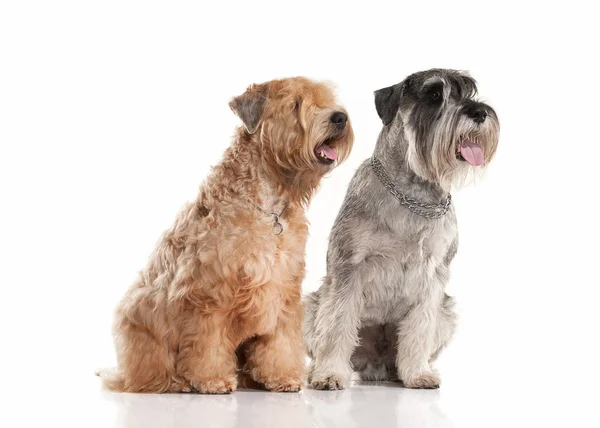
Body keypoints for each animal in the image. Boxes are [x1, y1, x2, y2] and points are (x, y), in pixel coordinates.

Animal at [97, 77, 352, 394]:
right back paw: (177, 381)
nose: (339, 118)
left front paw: (283, 376)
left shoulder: (283, 289)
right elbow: (208, 343)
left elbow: (280, 341)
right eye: (295, 104)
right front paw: (212, 379)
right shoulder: (209, 292)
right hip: (140, 316)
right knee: (150, 373)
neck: (268, 204)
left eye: (327, 100)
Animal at [304, 68, 496, 390]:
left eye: (469, 93)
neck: (413, 195)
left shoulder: (433, 276)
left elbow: (419, 329)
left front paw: (417, 373)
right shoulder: (349, 267)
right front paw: (329, 374)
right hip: (310, 305)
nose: (480, 112)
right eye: (434, 95)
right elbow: (337, 324)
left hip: (446, 313)